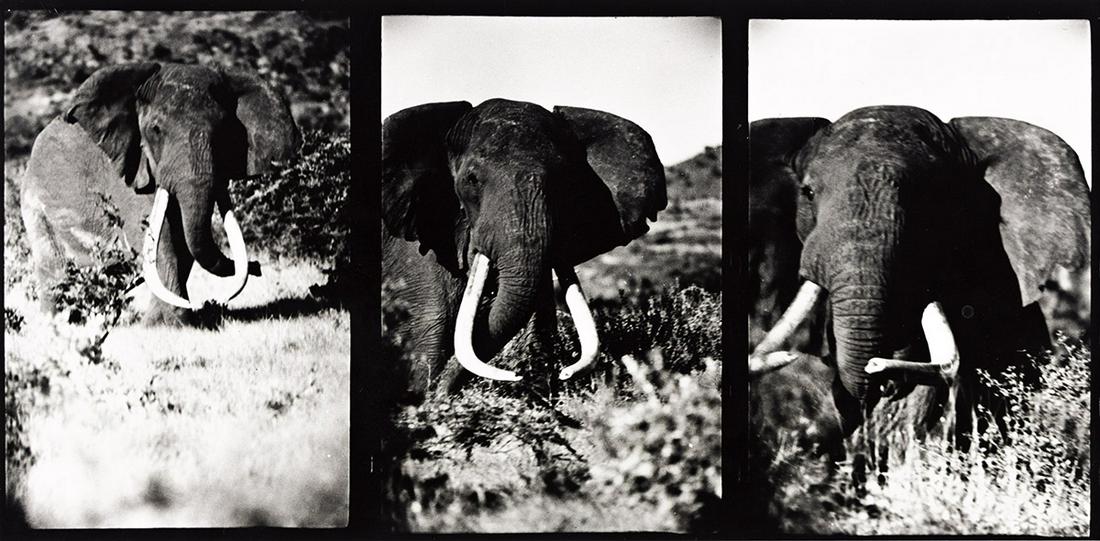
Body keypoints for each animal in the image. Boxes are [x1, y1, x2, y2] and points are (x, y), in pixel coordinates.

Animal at [20, 63, 300, 325]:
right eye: (155, 130)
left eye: (225, 132)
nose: (257, 267)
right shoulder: (126, 175)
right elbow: (156, 237)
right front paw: (173, 325)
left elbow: (183, 243)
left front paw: (163, 321)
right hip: (35, 208)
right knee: (53, 269)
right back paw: (56, 326)